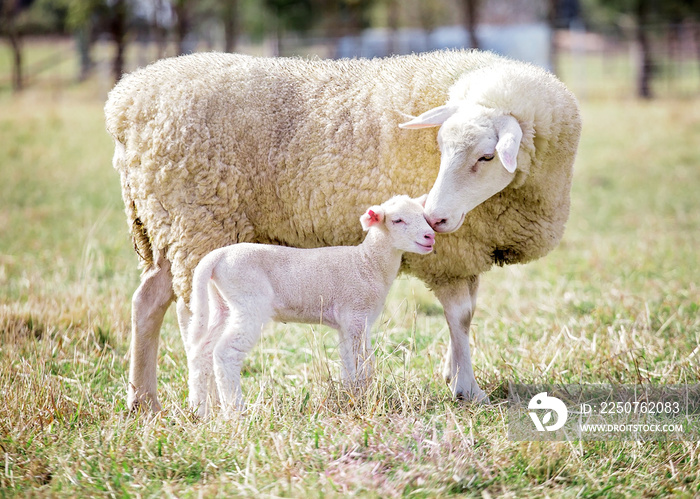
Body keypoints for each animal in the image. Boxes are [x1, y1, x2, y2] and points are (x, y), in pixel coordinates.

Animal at [189, 195, 434, 418]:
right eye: (397, 220)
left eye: (423, 216)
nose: (429, 236)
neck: (367, 262)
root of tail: (217, 256)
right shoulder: (356, 315)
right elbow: (364, 361)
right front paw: (364, 398)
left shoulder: (347, 323)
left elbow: (348, 361)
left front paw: (350, 397)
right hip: (249, 300)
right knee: (226, 352)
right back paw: (235, 412)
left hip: (222, 304)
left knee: (202, 352)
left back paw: (199, 411)